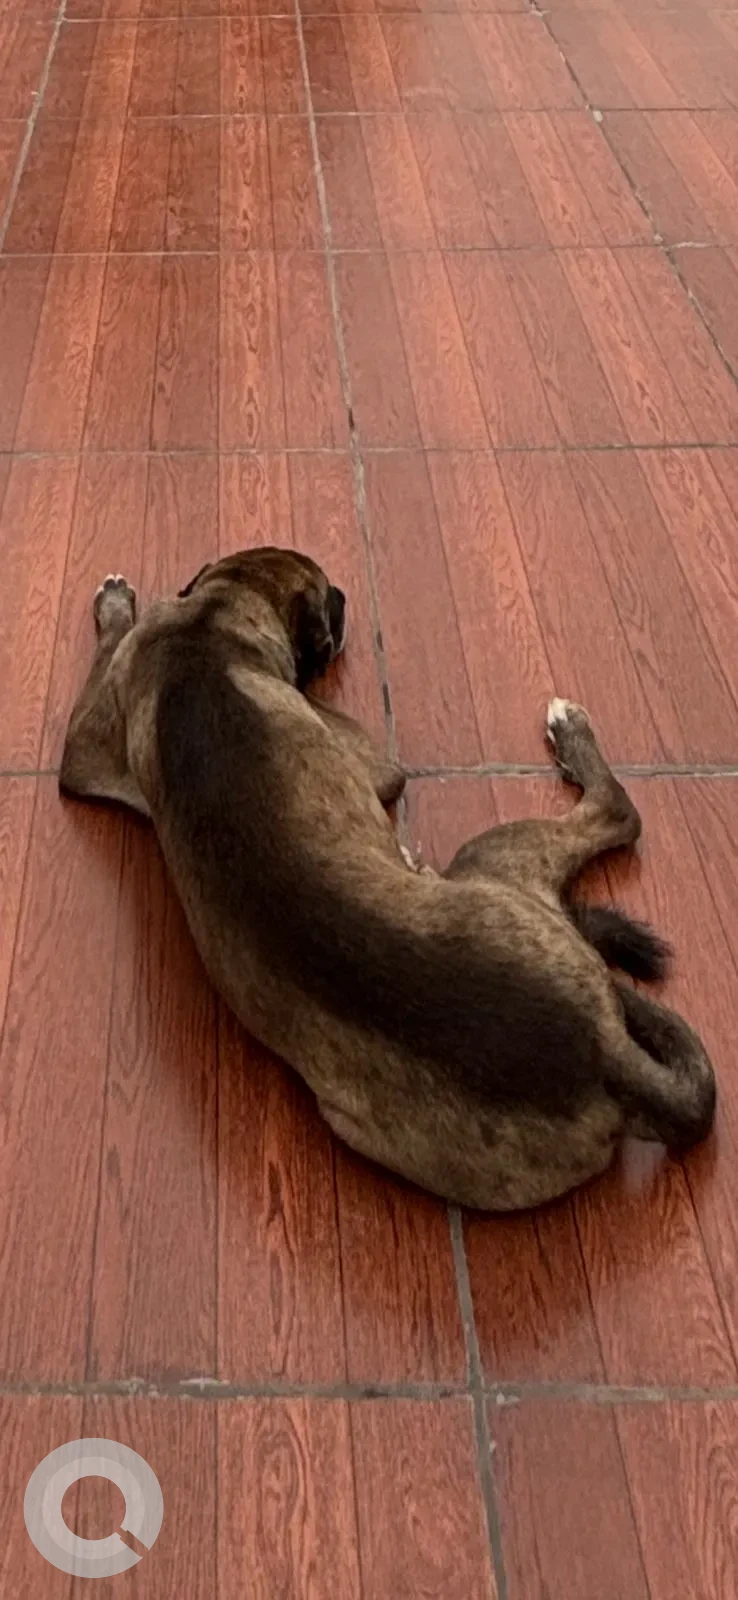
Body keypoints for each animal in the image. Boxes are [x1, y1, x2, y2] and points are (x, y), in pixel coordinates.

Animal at [59, 548, 716, 1211]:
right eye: (330, 596)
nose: (346, 597)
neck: (212, 619)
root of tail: (606, 1057)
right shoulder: (372, 767)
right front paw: (117, 607)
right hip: (485, 857)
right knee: (617, 812)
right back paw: (567, 736)